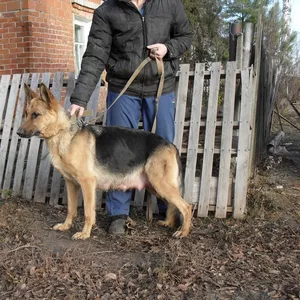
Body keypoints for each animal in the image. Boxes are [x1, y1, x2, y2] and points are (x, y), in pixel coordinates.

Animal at [18, 83, 192, 240]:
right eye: (26, 114)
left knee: (186, 206)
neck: (64, 132)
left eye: (35, 115)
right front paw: (66, 226)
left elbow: (88, 212)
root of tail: (171, 145)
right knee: (173, 204)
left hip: (160, 184)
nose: (18, 132)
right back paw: (168, 223)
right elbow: (71, 209)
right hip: (155, 186)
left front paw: (85, 234)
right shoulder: (71, 183)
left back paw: (183, 232)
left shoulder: (87, 183)